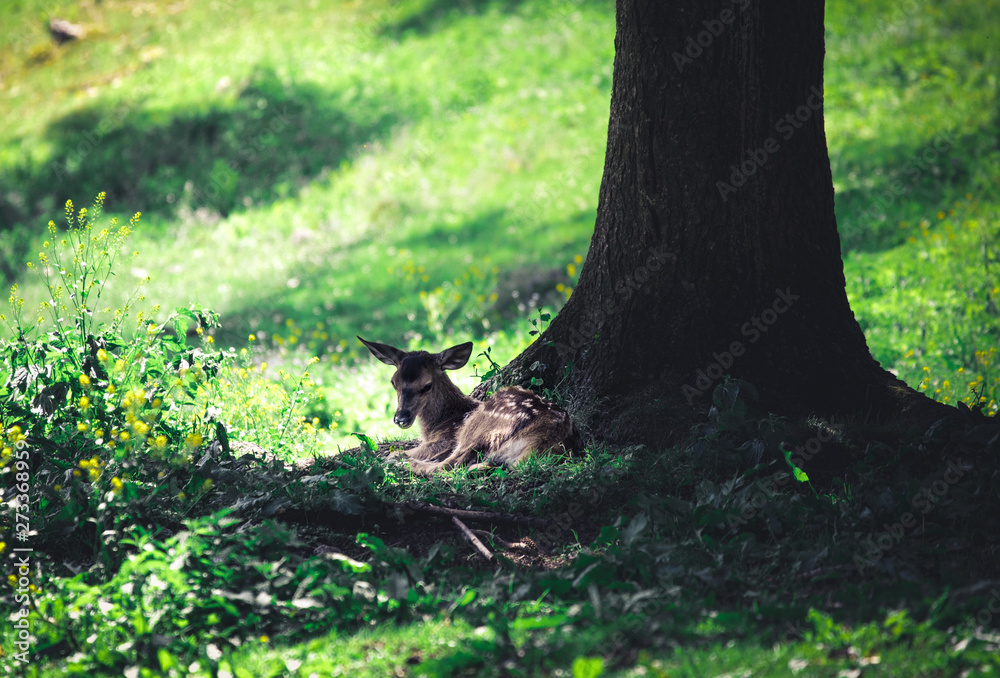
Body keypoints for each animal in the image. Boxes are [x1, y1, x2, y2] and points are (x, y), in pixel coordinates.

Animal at [358, 336, 582, 475]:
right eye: (393, 382)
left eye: (427, 386)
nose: (401, 418)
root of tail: (546, 437)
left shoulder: (446, 439)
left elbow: (396, 451)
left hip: (481, 426)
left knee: (449, 465)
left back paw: (403, 463)